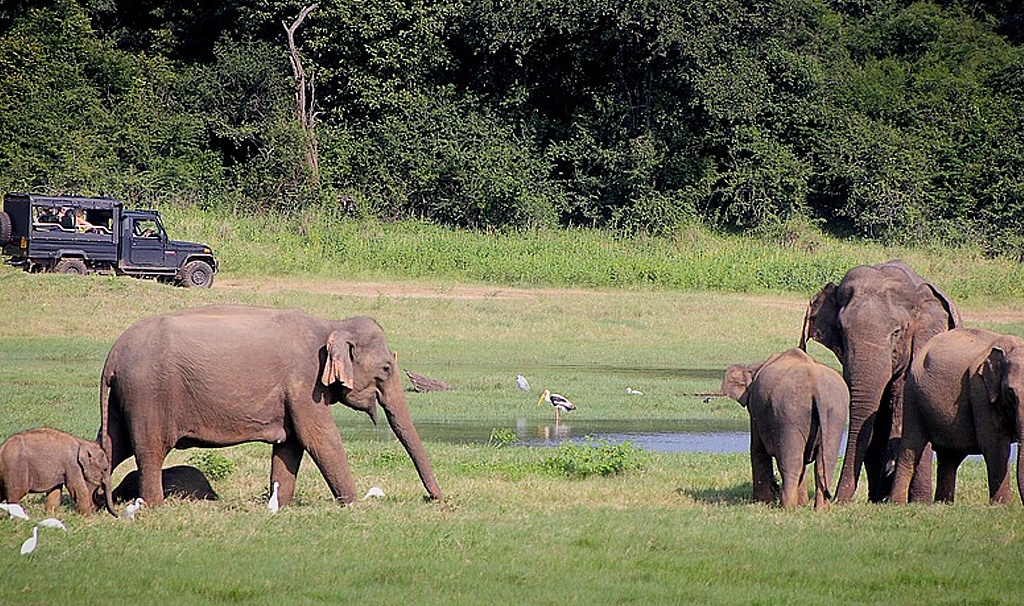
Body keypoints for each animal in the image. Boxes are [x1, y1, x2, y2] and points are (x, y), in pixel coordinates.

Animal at [96, 305, 444, 509]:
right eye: (386, 368)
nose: (434, 498)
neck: (330, 323)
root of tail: (112, 355)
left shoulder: (294, 394)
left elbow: (290, 445)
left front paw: (281, 505)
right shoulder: (304, 383)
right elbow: (319, 438)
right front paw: (353, 505)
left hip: (124, 399)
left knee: (111, 445)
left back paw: (98, 503)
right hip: (148, 394)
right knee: (149, 448)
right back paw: (154, 505)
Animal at [720, 348, 847, 509]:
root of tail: (817, 388)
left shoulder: (755, 410)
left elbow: (757, 449)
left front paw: (762, 502)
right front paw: (802, 504)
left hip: (790, 413)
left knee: (791, 461)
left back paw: (787, 507)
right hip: (835, 413)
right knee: (824, 462)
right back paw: (821, 509)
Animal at [888, 329, 1024, 503]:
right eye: (1010, 393)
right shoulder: (980, 391)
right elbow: (995, 444)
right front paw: (1002, 505)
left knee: (951, 456)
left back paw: (943, 503)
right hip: (912, 396)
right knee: (911, 449)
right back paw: (897, 503)